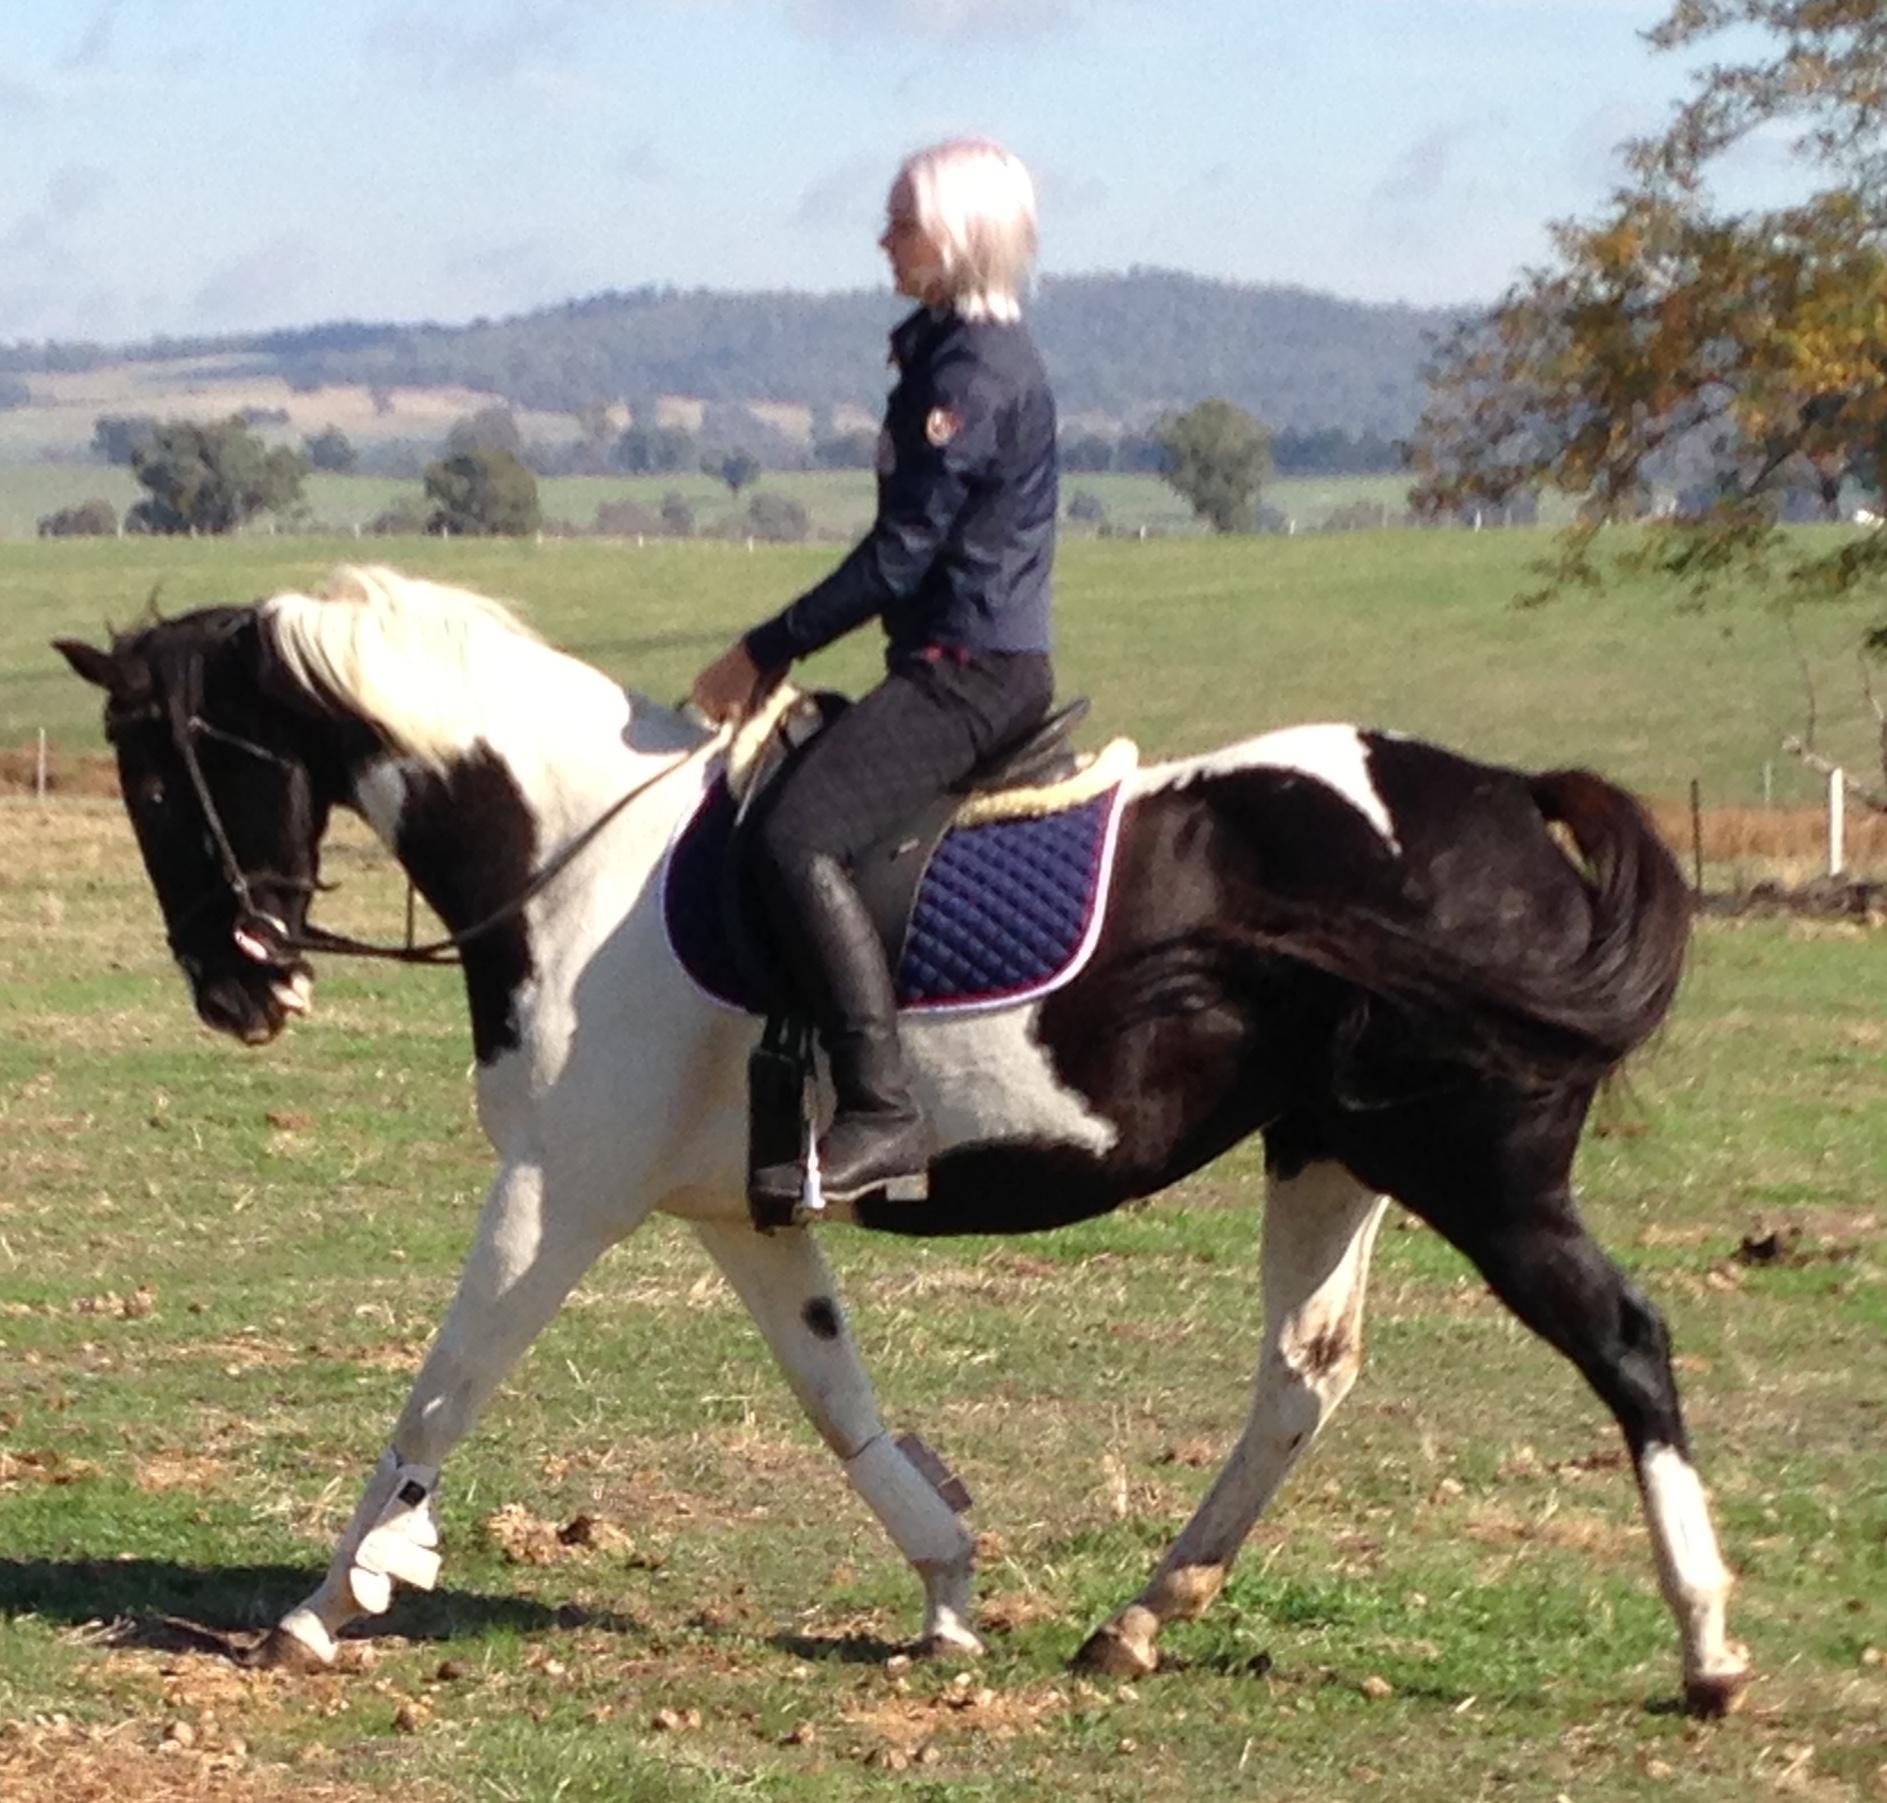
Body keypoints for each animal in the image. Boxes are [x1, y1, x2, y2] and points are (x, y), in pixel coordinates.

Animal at [54, 564, 1749, 1716]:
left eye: (158, 776)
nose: (238, 989)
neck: (572, 859)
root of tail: (1503, 800)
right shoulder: (740, 1211)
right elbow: (836, 1400)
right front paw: (945, 1588)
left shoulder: (556, 1191)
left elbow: (441, 1386)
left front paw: (326, 1600)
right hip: (1328, 1151)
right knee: (1301, 1376)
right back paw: (1139, 1615)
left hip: (1478, 1167)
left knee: (1624, 1342)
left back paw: (1707, 1646)